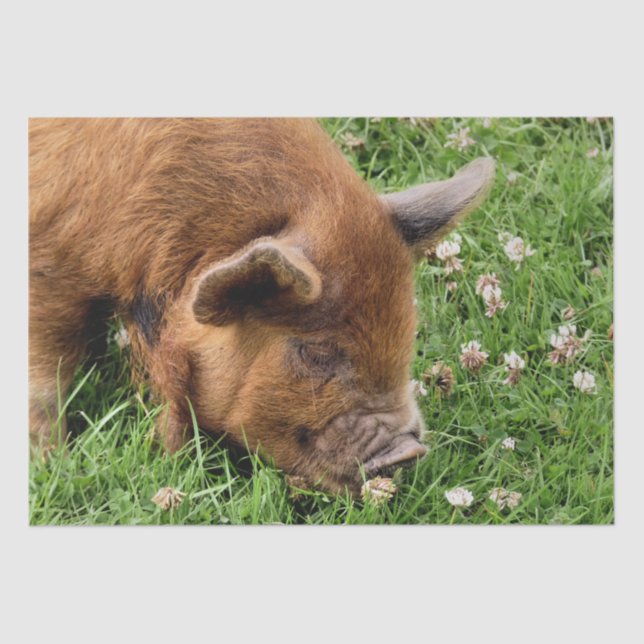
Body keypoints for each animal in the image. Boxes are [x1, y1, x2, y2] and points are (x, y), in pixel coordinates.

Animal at [29, 118, 494, 494]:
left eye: (407, 333)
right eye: (315, 352)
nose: (409, 451)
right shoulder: (49, 269)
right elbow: (45, 382)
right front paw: (52, 461)